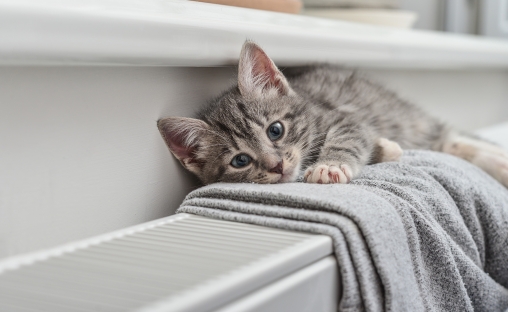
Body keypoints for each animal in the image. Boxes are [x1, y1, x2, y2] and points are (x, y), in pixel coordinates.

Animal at [158, 40, 508, 186]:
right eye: (240, 160)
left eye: (275, 130)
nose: (276, 166)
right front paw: (385, 149)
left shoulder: (345, 118)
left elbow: (348, 137)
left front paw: (330, 165)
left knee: (454, 140)